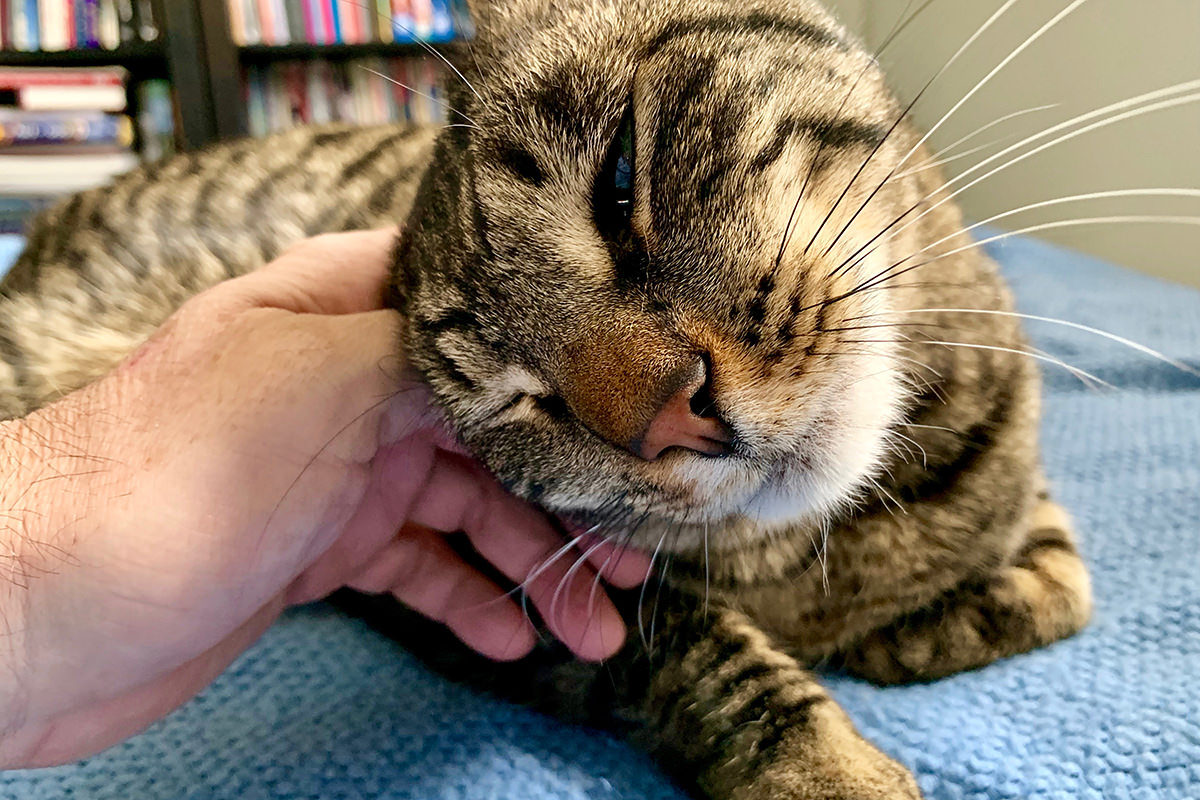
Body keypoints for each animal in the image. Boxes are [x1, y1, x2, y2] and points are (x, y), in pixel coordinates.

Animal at [0, 0, 1094, 796]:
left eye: (619, 178)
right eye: (522, 403)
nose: (670, 416)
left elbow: (1062, 581)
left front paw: (936, 619)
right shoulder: (521, 605)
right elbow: (703, 659)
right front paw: (830, 768)